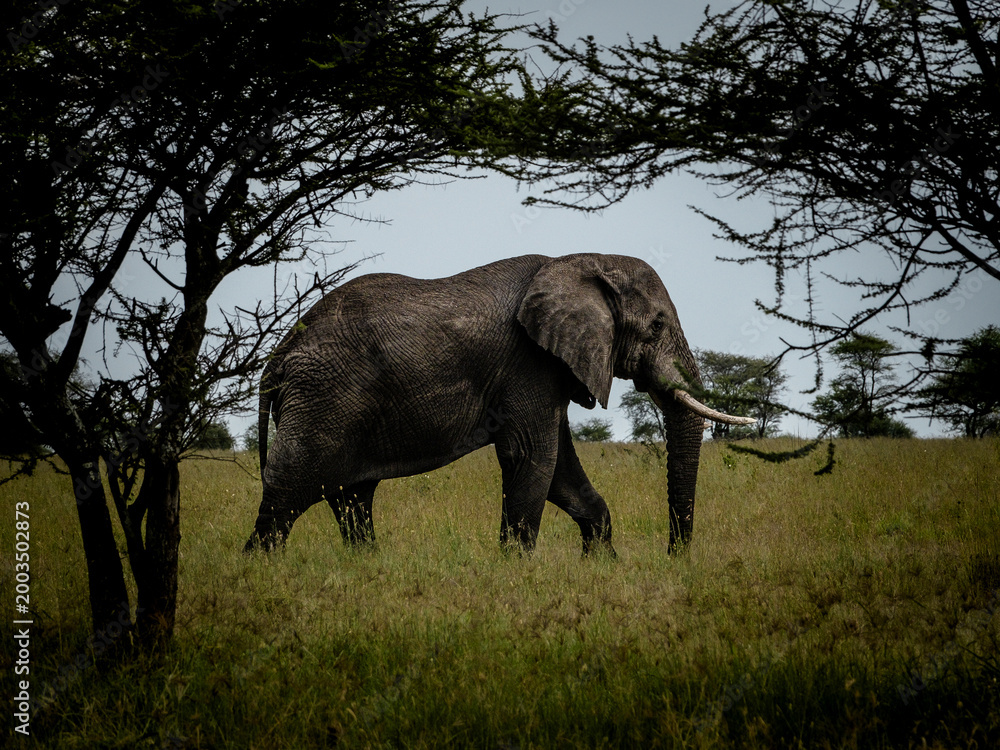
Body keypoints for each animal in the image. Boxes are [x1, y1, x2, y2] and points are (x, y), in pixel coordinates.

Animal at [243, 253, 754, 556]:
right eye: (656, 326)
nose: (674, 558)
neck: (578, 260)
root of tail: (279, 354)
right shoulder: (529, 364)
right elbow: (533, 457)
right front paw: (517, 574)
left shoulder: (549, 370)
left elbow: (561, 471)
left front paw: (601, 567)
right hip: (322, 400)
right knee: (287, 495)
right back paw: (260, 574)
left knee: (351, 498)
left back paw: (366, 566)